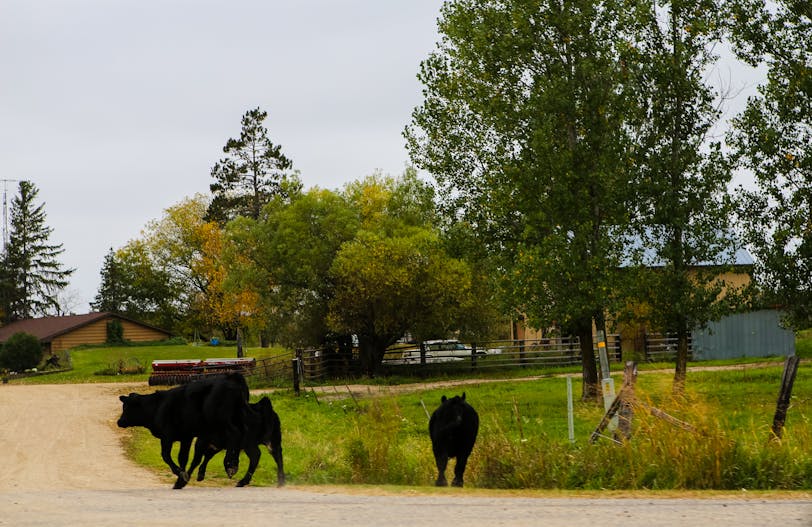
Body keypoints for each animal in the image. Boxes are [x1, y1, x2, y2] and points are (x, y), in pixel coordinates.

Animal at [117, 372, 249, 489]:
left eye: (126, 407)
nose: (119, 421)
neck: (157, 406)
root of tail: (231, 377)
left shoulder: (167, 436)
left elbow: (166, 455)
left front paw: (179, 473)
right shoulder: (186, 437)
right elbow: (183, 457)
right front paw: (181, 478)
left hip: (222, 420)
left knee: (235, 433)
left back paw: (230, 465)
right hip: (237, 418)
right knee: (241, 436)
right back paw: (233, 464)